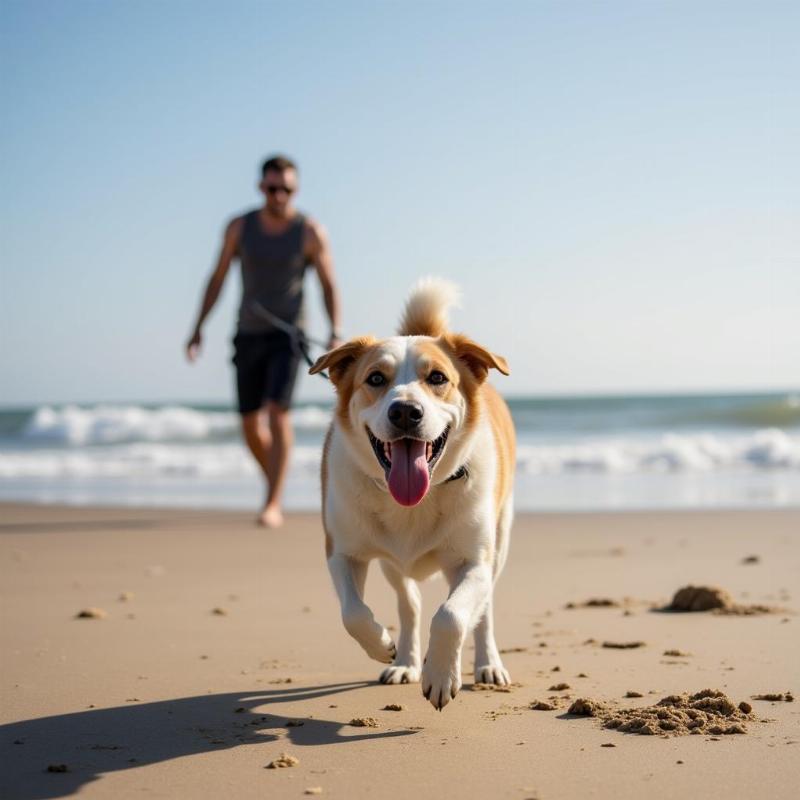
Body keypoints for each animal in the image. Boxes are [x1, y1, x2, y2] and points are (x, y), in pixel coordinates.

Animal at [310, 278, 516, 708]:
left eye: (437, 378)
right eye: (375, 379)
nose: (405, 411)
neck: (413, 501)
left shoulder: (474, 561)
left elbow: (452, 615)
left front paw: (440, 675)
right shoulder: (341, 551)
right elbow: (352, 613)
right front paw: (382, 644)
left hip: (500, 540)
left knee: (483, 610)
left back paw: (488, 664)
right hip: (393, 562)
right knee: (410, 603)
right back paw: (404, 660)